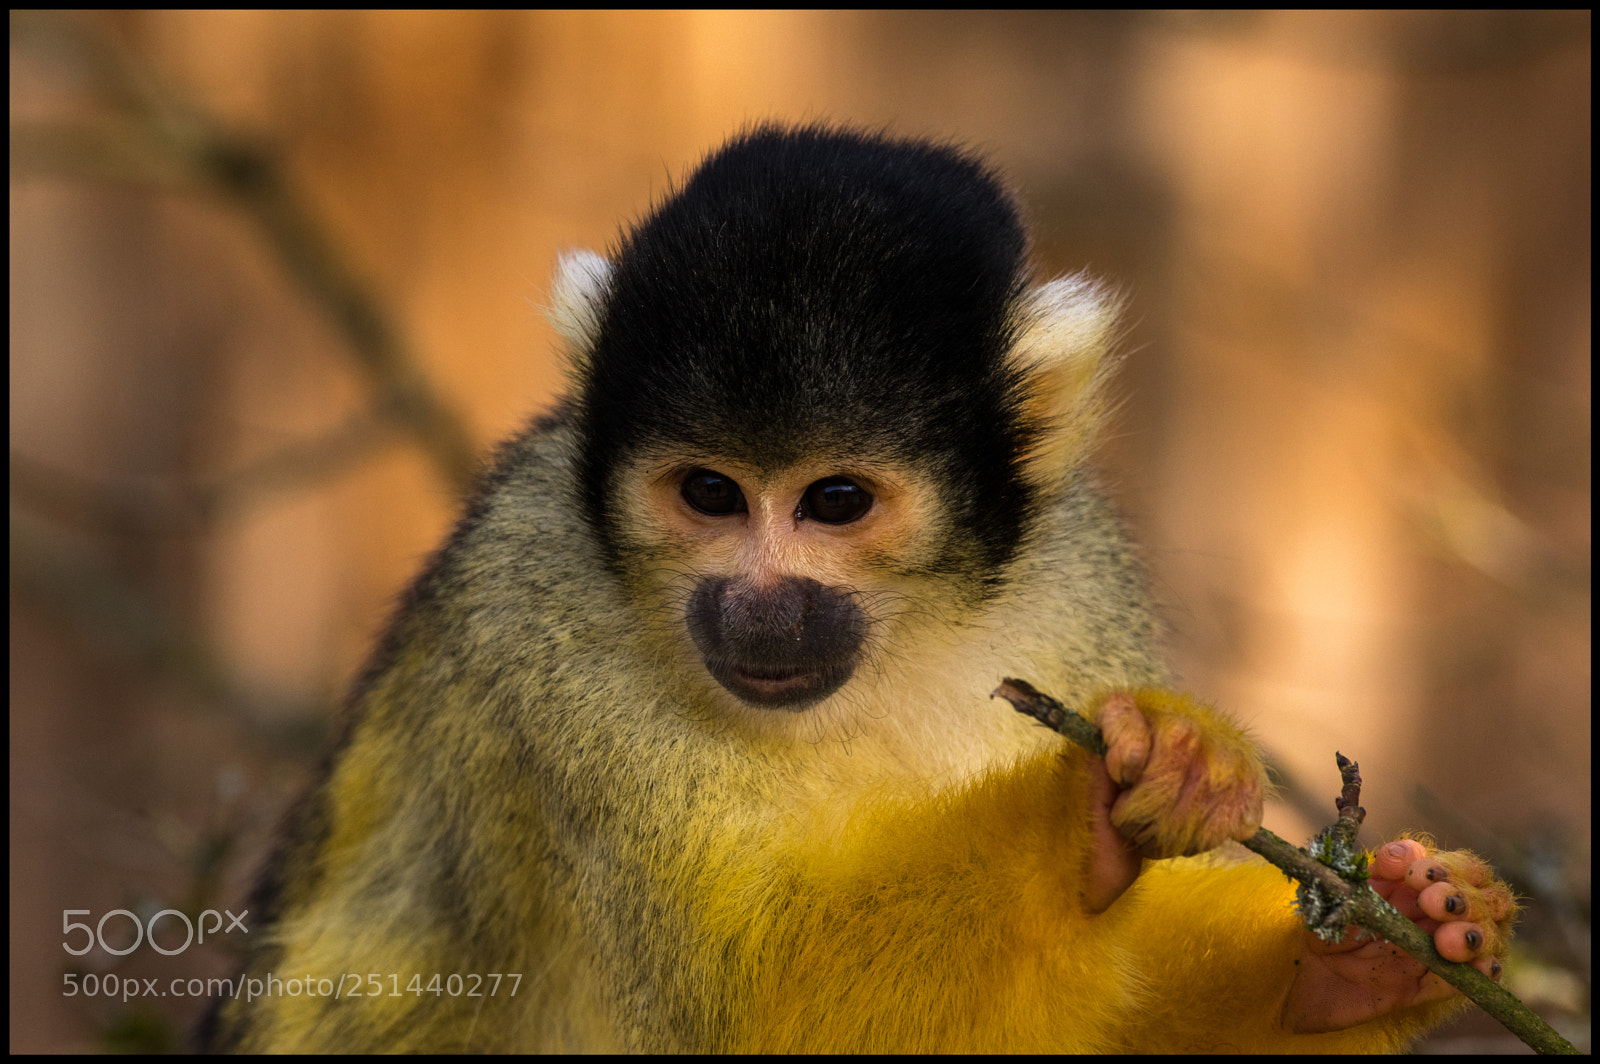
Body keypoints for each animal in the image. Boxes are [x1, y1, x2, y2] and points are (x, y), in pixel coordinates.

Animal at [203, 124, 1517, 1052]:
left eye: (833, 501)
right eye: (709, 493)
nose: (761, 605)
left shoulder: (1078, 583)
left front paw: (1349, 968)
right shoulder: (538, 618)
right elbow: (764, 1012)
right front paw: (1085, 806)